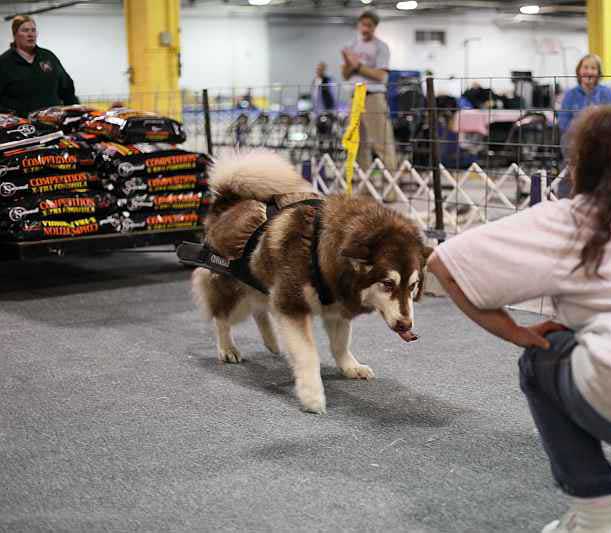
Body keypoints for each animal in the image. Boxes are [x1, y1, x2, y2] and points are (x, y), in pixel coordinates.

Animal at [194, 150, 432, 412]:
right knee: (222, 317)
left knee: (260, 309)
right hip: (236, 292)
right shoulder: (292, 306)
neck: (319, 250)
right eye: (387, 284)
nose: (406, 325)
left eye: (412, 286)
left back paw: (272, 341)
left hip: (262, 286)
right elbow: (308, 354)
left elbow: (340, 344)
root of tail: (227, 204)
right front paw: (312, 394)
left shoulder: (336, 308)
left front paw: (350, 366)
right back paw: (228, 348)